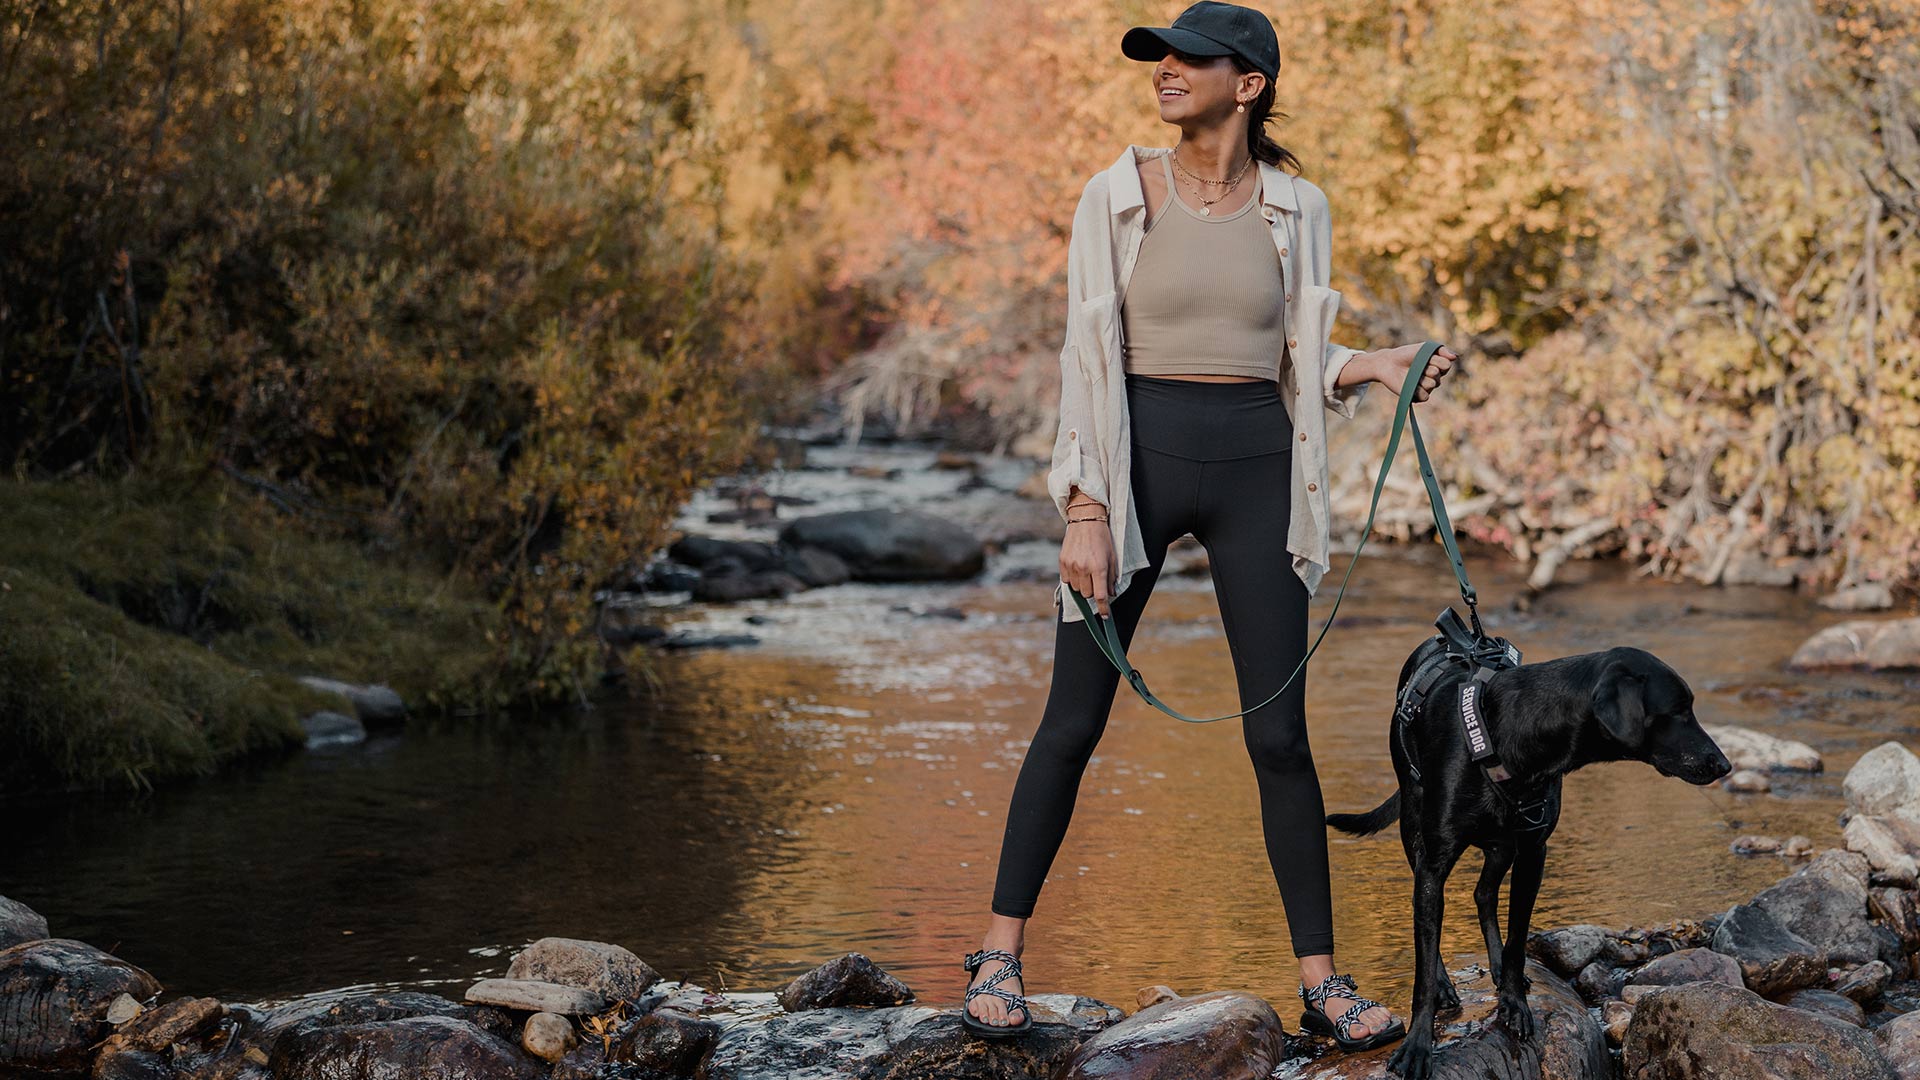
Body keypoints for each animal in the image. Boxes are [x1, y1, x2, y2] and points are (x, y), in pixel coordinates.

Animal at [1328, 641, 1735, 1068]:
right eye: (1679, 711)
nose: (1724, 764)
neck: (1512, 735)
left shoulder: (1532, 854)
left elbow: (1516, 941)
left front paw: (1514, 1002)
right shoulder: (1435, 863)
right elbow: (1423, 962)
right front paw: (1418, 1043)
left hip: (1502, 845)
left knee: (1484, 893)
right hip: (1413, 823)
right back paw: (1443, 984)